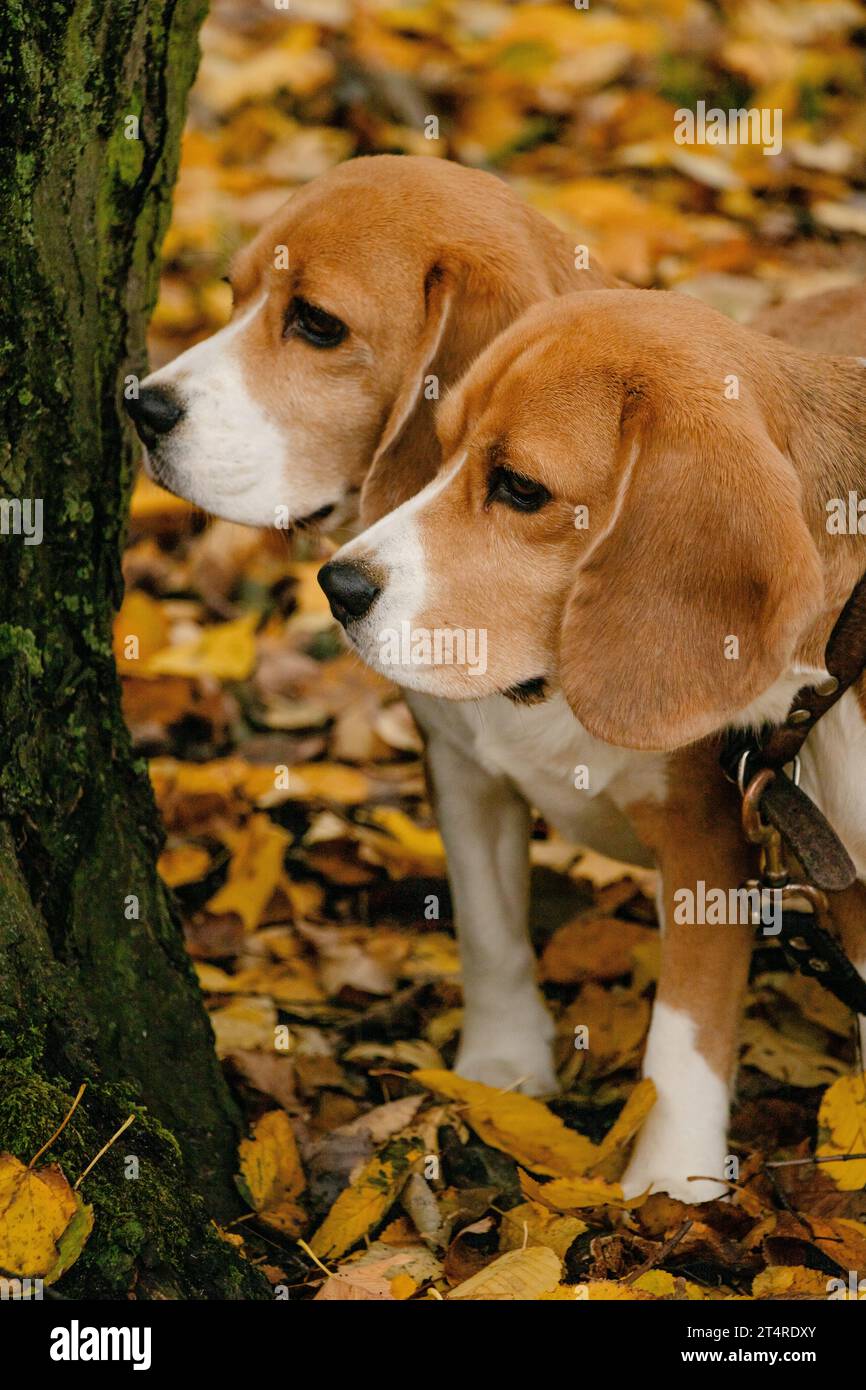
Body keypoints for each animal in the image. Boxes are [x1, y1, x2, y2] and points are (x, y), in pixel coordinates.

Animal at [325, 287, 866, 1200]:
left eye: (519, 487)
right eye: (442, 450)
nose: (337, 585)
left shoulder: (707, 838)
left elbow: (683, 1032)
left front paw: (671, 1185)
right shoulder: (468, 776)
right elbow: (488, 926)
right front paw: (499, 1066)